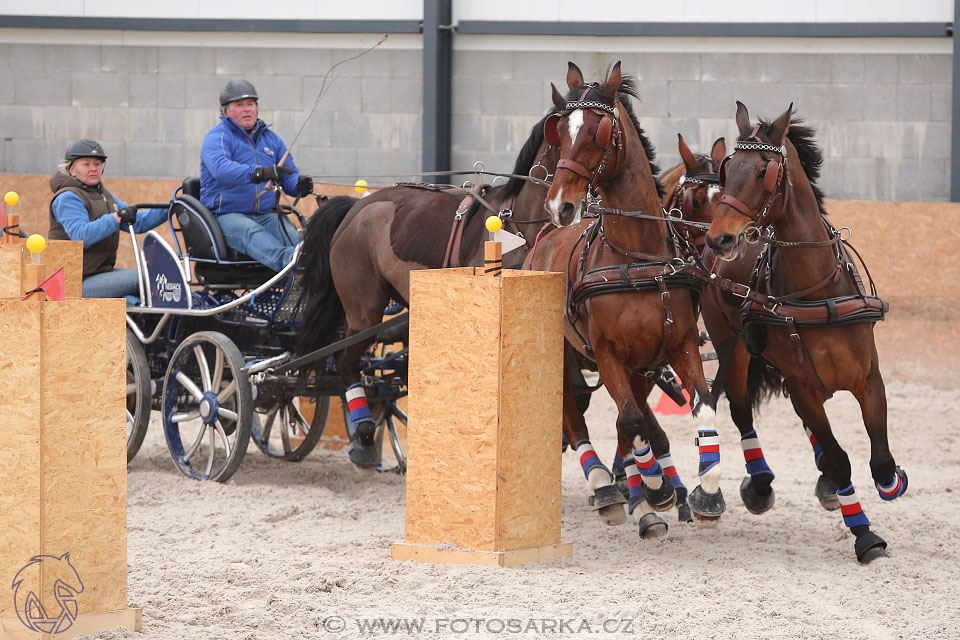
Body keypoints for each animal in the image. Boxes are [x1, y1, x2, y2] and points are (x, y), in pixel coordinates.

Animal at [296, 115, 560, 468]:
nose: (568, 204)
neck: (516, 223)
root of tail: (357, 207)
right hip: (364, 312)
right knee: (347, 362)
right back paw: (364, 434)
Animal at [528, 61, 724, 536]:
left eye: (599, 130)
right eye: (559, 131)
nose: (559, 205)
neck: (638, 258)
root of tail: (542, 239)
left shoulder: (676, 346)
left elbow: (702, 407)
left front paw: (705, 493)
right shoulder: (607, 352)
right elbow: (632, 420)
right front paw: (655, 489)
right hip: (566, 351)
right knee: (574, 415)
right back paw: (607, 488)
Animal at [700, 99, 904, 560]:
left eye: (764, 171)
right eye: (727, 169)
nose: (720, 239)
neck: (818, 291)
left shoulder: (868, 378)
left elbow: (880, 459)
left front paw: (891, 482)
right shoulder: (803, 385)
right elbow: (841, 459)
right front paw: (865, 535)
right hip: (732, 347)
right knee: (741, 410)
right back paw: (760, 484)